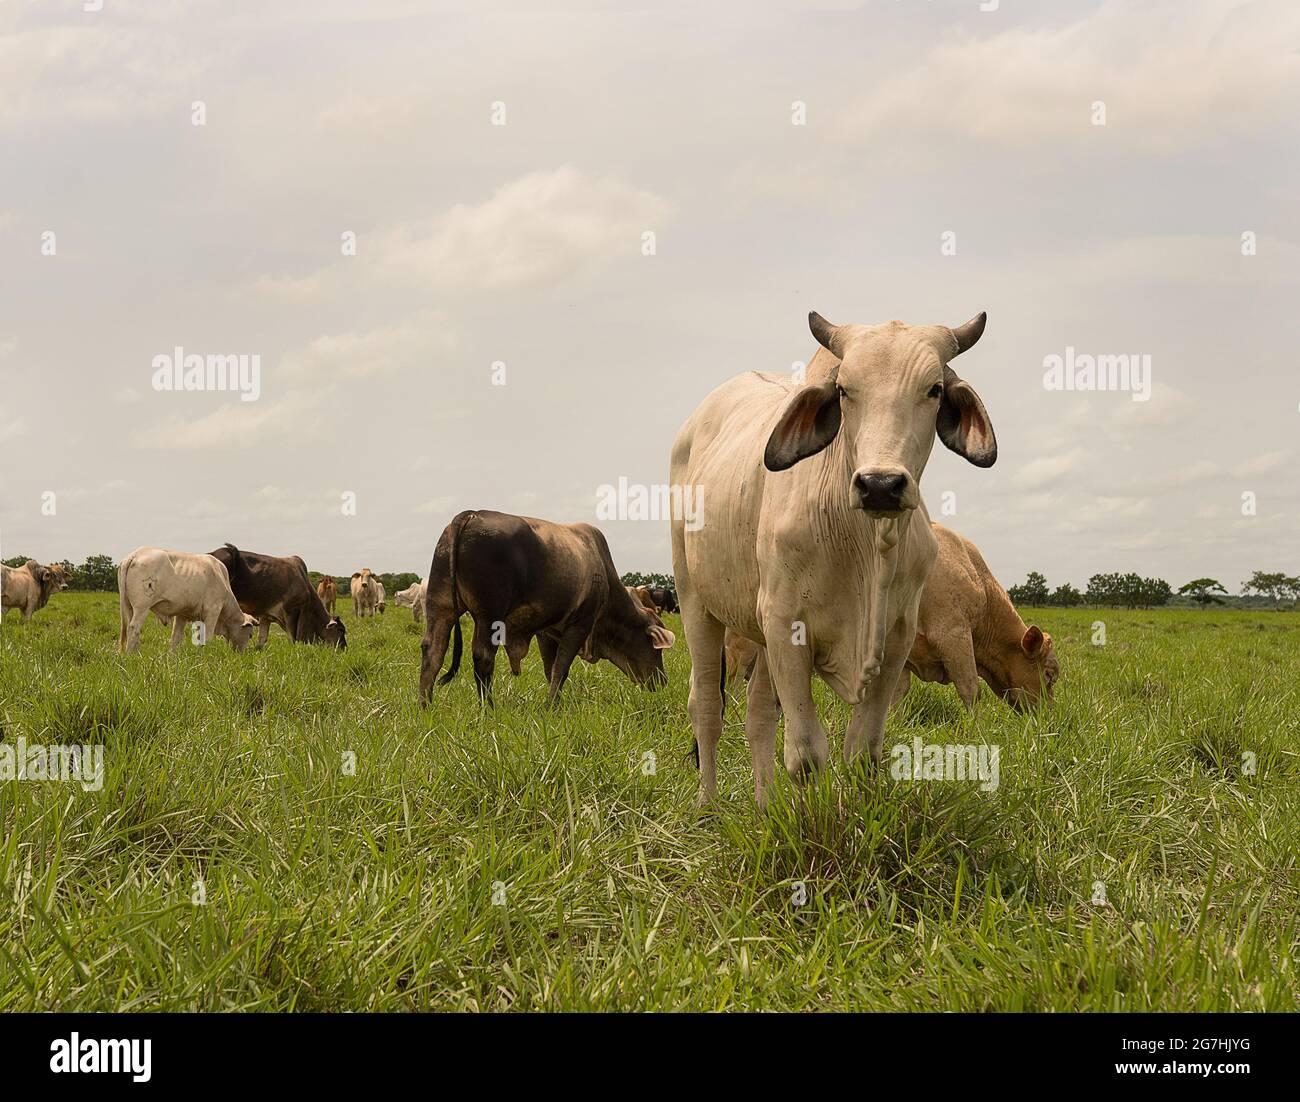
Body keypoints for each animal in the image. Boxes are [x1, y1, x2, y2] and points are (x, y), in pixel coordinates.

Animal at [117, 547, 258, 654]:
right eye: (250, 635)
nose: (240, 654)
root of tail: (135, 554)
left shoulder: (182, 615)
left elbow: (176, 637)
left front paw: (172, 657)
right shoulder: (213, 611)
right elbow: (207, 637)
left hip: (128, 606)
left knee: (130, 628)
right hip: (142, 607)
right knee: (134, 628)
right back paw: (132, 655)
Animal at [208, 543, 346, 649]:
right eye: (341, 630)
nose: (344, 648)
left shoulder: (265, 616)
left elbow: (262, 639)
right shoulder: (291, 612)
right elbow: (292, 638)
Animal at [418, 510, 675, 705]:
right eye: (657, 649)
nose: (662, 682)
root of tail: (470, 515)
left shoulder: (546, 632)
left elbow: (550, 670)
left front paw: (556, 703)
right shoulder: (580, 624)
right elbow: (561, 669)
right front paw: (551, 705)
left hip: (440, 605)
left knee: (433, 652)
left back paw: (425, 707)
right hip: (489, 615)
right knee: (483, 657)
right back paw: (488, 709)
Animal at [670, 309, 996, 806]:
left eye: (934, 389)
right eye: (844, 389)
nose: (880, 484)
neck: (865, 546)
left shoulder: (896, 638)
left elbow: (863, 750)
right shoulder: (785, 626)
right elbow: (805, 755)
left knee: (758, 712)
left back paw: (764, 807)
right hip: (694, 599)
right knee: (705, 703)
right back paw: (708, 806)